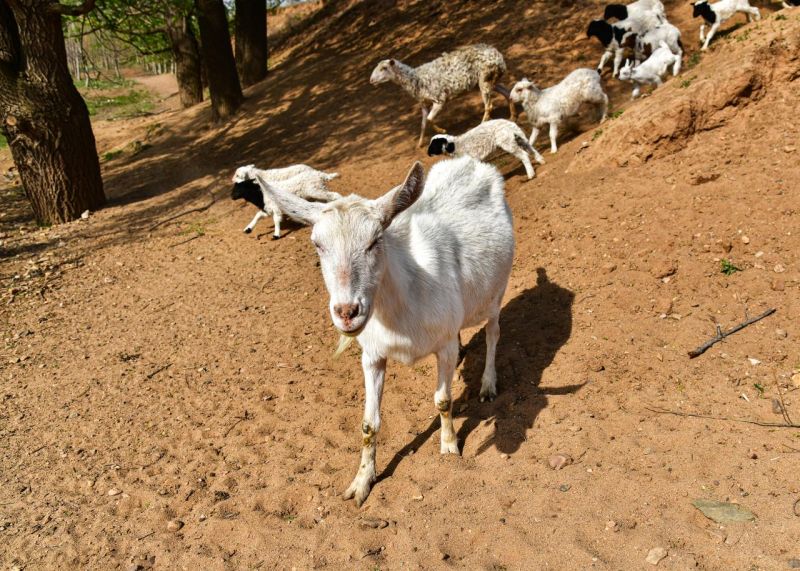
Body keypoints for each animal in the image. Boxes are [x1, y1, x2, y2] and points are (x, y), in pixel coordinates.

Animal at [260, 155, 516, 504]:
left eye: (375, 241)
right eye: (317, 244)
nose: (347, 313)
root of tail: (471, 161)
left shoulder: (443, 345)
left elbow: (443, 400)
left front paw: (449, 447)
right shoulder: (372, 354)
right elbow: (369, 424)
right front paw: (361, 482)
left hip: (497, 290)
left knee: (493, 333)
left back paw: (488, 384)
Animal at [372, 44, 516, 147]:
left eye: (384, 68)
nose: (371, 80)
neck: (416, 78)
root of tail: (498, 56)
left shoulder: (439, 100)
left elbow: (429, 119)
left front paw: (442, 131)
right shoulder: (424, 104)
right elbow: (423, 123)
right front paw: (419, 143)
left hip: (484, 78)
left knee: (489, 106)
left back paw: (481, 124)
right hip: (489, 80)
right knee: (507, 93)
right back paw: (512, 117)